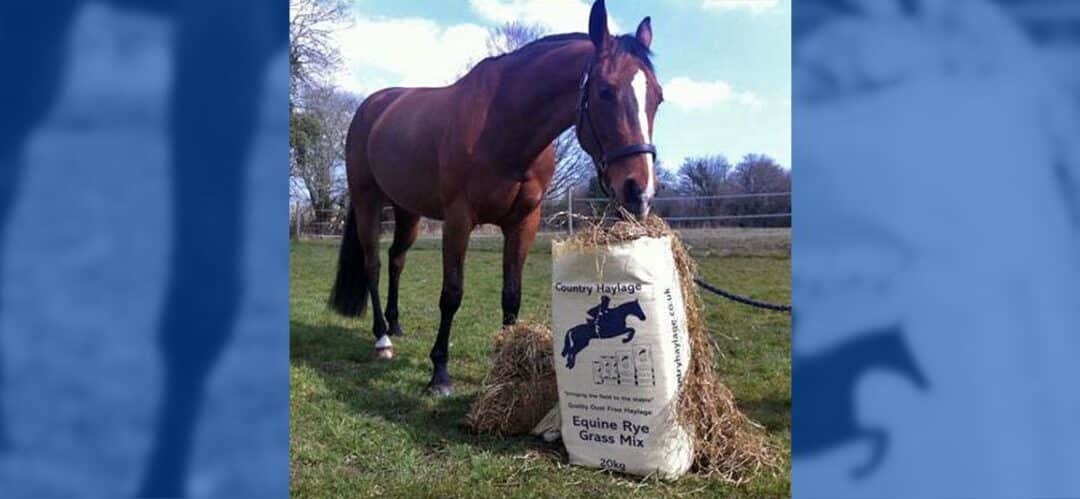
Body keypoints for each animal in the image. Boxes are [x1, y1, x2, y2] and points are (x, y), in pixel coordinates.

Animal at [330, 0, 665, 395]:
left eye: (658, 97)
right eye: (605, 92)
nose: (639, 190)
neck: (503, 125)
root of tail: (373, 106)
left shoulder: (523, 222)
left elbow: (511, 294)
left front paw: (505, 364)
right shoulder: (459, 220)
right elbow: (452, 294)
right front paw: (439, 373)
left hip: (407, 210)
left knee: (397, 260)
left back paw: (395, 326)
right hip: (367, 201)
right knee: (374, 264)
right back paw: (382, 338)